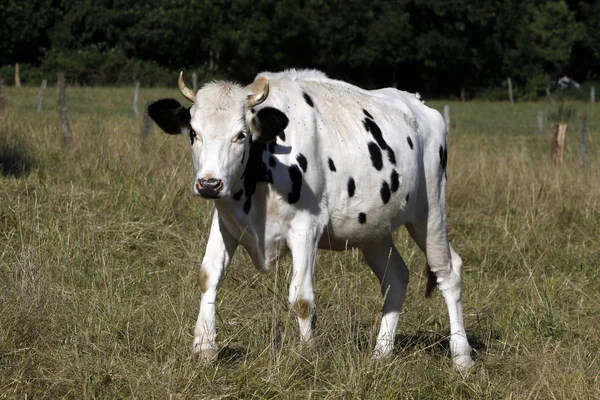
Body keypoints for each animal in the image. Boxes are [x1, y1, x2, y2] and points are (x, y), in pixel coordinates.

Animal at [149, 69, 474, 372]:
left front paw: (306, 354)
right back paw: (381, 352)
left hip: (430, 210)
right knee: (395, 276)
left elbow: (301, 298)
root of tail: (419, 104)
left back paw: (462, 356)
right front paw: (205, 346)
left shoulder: (307, 226)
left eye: (241, 134)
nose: (209, 183)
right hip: (374, 229)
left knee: (448, 272)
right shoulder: (226, 221)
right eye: (193, 133)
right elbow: (208, 276)